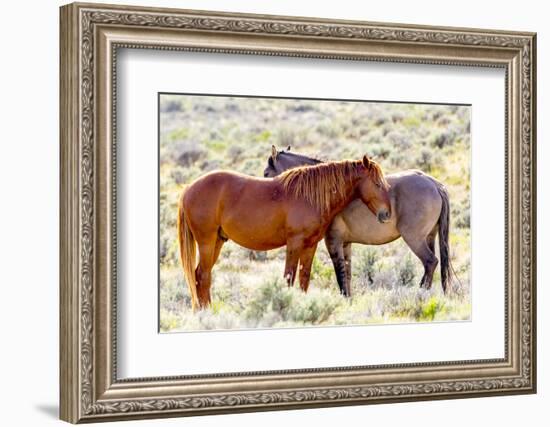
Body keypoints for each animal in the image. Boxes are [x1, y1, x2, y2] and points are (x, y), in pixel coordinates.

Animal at [178, 155, 392, 310]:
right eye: (377, 184)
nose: (386, 214)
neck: (309, 196)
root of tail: (189, 188)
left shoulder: (310, 245)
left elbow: (304, 278)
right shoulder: (294, 243)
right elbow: (289, 277)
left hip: (217, 242)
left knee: (200, 276)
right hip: (206, 242)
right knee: (203, 276)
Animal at [266, 147, 454, 298]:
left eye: (266, 173)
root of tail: (434, 183)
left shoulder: (333, 241)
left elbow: (340, 274)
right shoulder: (345, 243)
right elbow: (347, 275)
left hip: (414, 239)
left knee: (430, 262)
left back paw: (420, 293)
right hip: (429, 237)